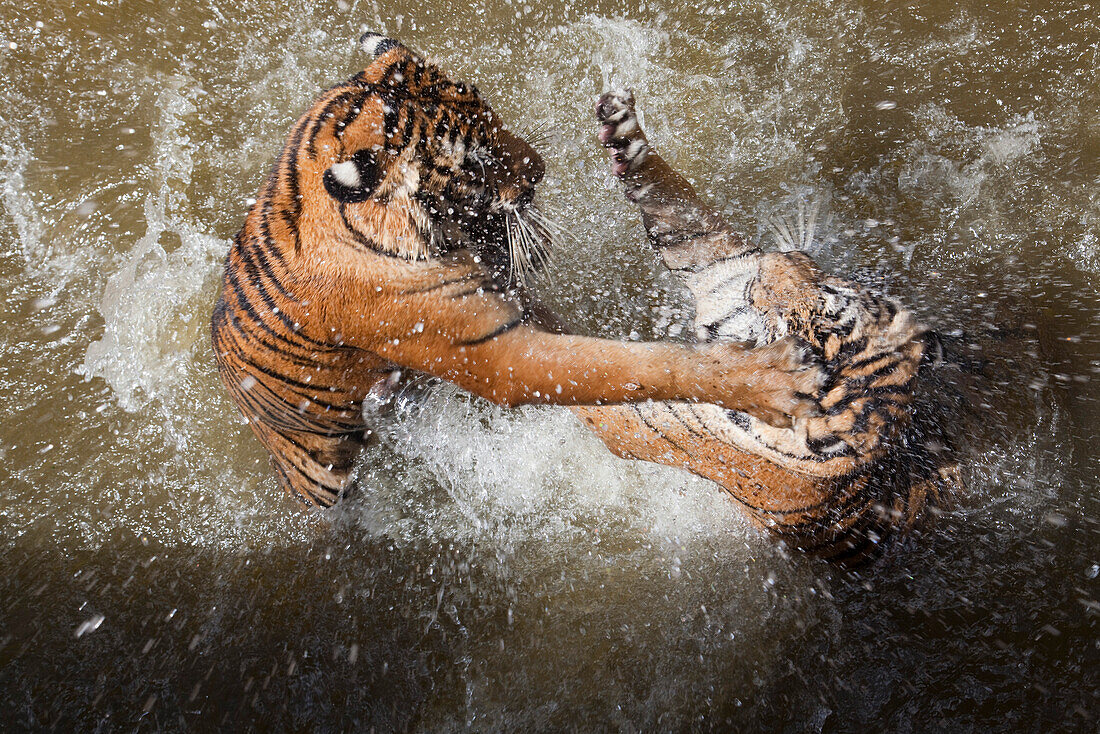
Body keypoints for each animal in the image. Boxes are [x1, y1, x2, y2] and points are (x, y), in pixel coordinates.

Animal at [210, 34, 822, 510]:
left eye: (488, 111)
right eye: (475, 164)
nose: (541, 169)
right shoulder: (497, 353)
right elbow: (634, 365)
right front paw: (776, 379)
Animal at [567, 91, 963, 563]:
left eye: (803, 338)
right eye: (828, 289)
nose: (773, 261)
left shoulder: (649, 421)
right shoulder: (719, 269)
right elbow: (677, 206)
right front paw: (623, 133)